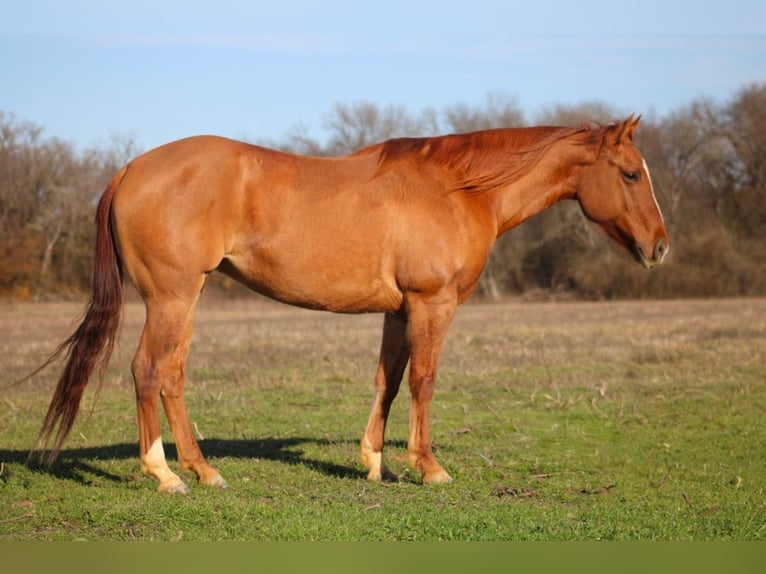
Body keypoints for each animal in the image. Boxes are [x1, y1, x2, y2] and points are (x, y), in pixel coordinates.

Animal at [31, 115, 668, 493]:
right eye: (630, 174)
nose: (659, 247)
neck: (459, 188)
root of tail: (131, 168)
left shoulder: (399, 310)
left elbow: (389, 379)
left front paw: (374, 462)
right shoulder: (432, 305)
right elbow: (424, 381)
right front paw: (428, 467)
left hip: (188, 298)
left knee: (172, 375)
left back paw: (204, 469)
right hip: (171, 297)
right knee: (148, 370)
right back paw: (164, 474)